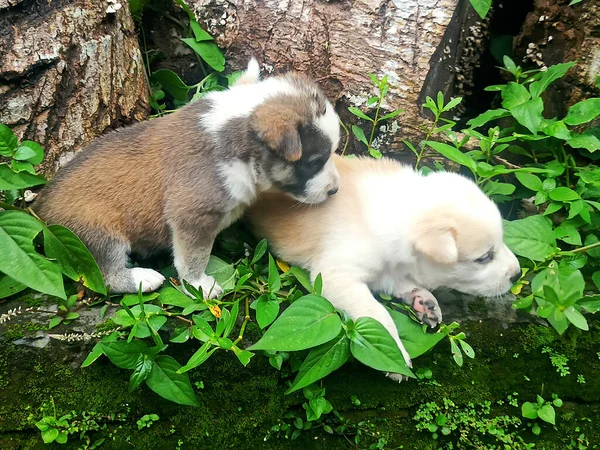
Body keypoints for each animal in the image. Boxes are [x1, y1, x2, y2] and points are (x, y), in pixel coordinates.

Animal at [35, 60, 340, 298]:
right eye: (314, 162)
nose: (335, 190)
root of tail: (39, 211)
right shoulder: (192, 218)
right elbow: (192, 259)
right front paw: (200, 286)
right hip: (98, 234)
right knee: (106, 275)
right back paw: (142, 278)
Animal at [248, 155, 520, 376]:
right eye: (484, 257)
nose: (517, 275)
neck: (398, 211)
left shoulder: (388, 270)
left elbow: (401, 283)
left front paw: (424, 300)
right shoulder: (337, 275)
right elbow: (376, 313)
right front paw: (396, 352)